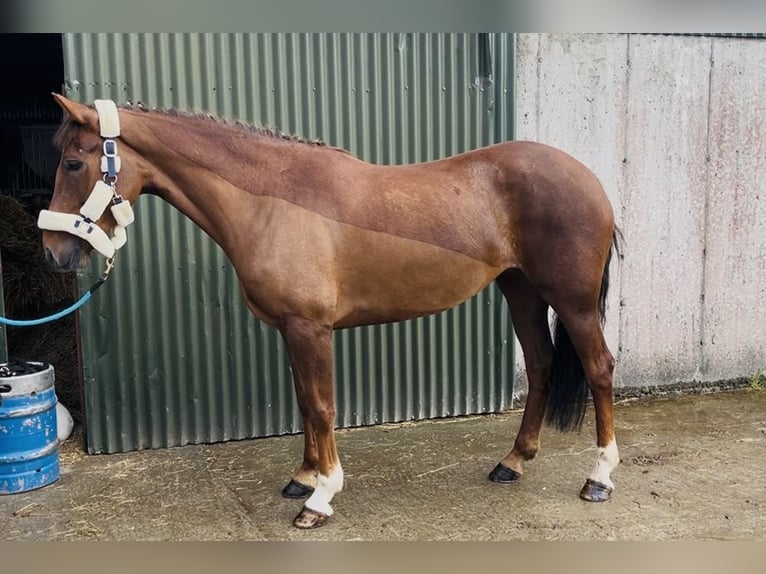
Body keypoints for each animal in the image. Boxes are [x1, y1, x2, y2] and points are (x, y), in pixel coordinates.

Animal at [40, 94, 620, 529]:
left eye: (73, 162)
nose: (53, 251)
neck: (272, 198)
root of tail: (589, 179)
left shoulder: (310, 328)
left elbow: (321, 407)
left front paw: (320, 498)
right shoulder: (290, 330)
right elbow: (303, 402)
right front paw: (303, 477)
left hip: (571, 301)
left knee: (599, 369)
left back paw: (599, 478)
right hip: (520, 290)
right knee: (542, 365)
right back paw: (513, 462)